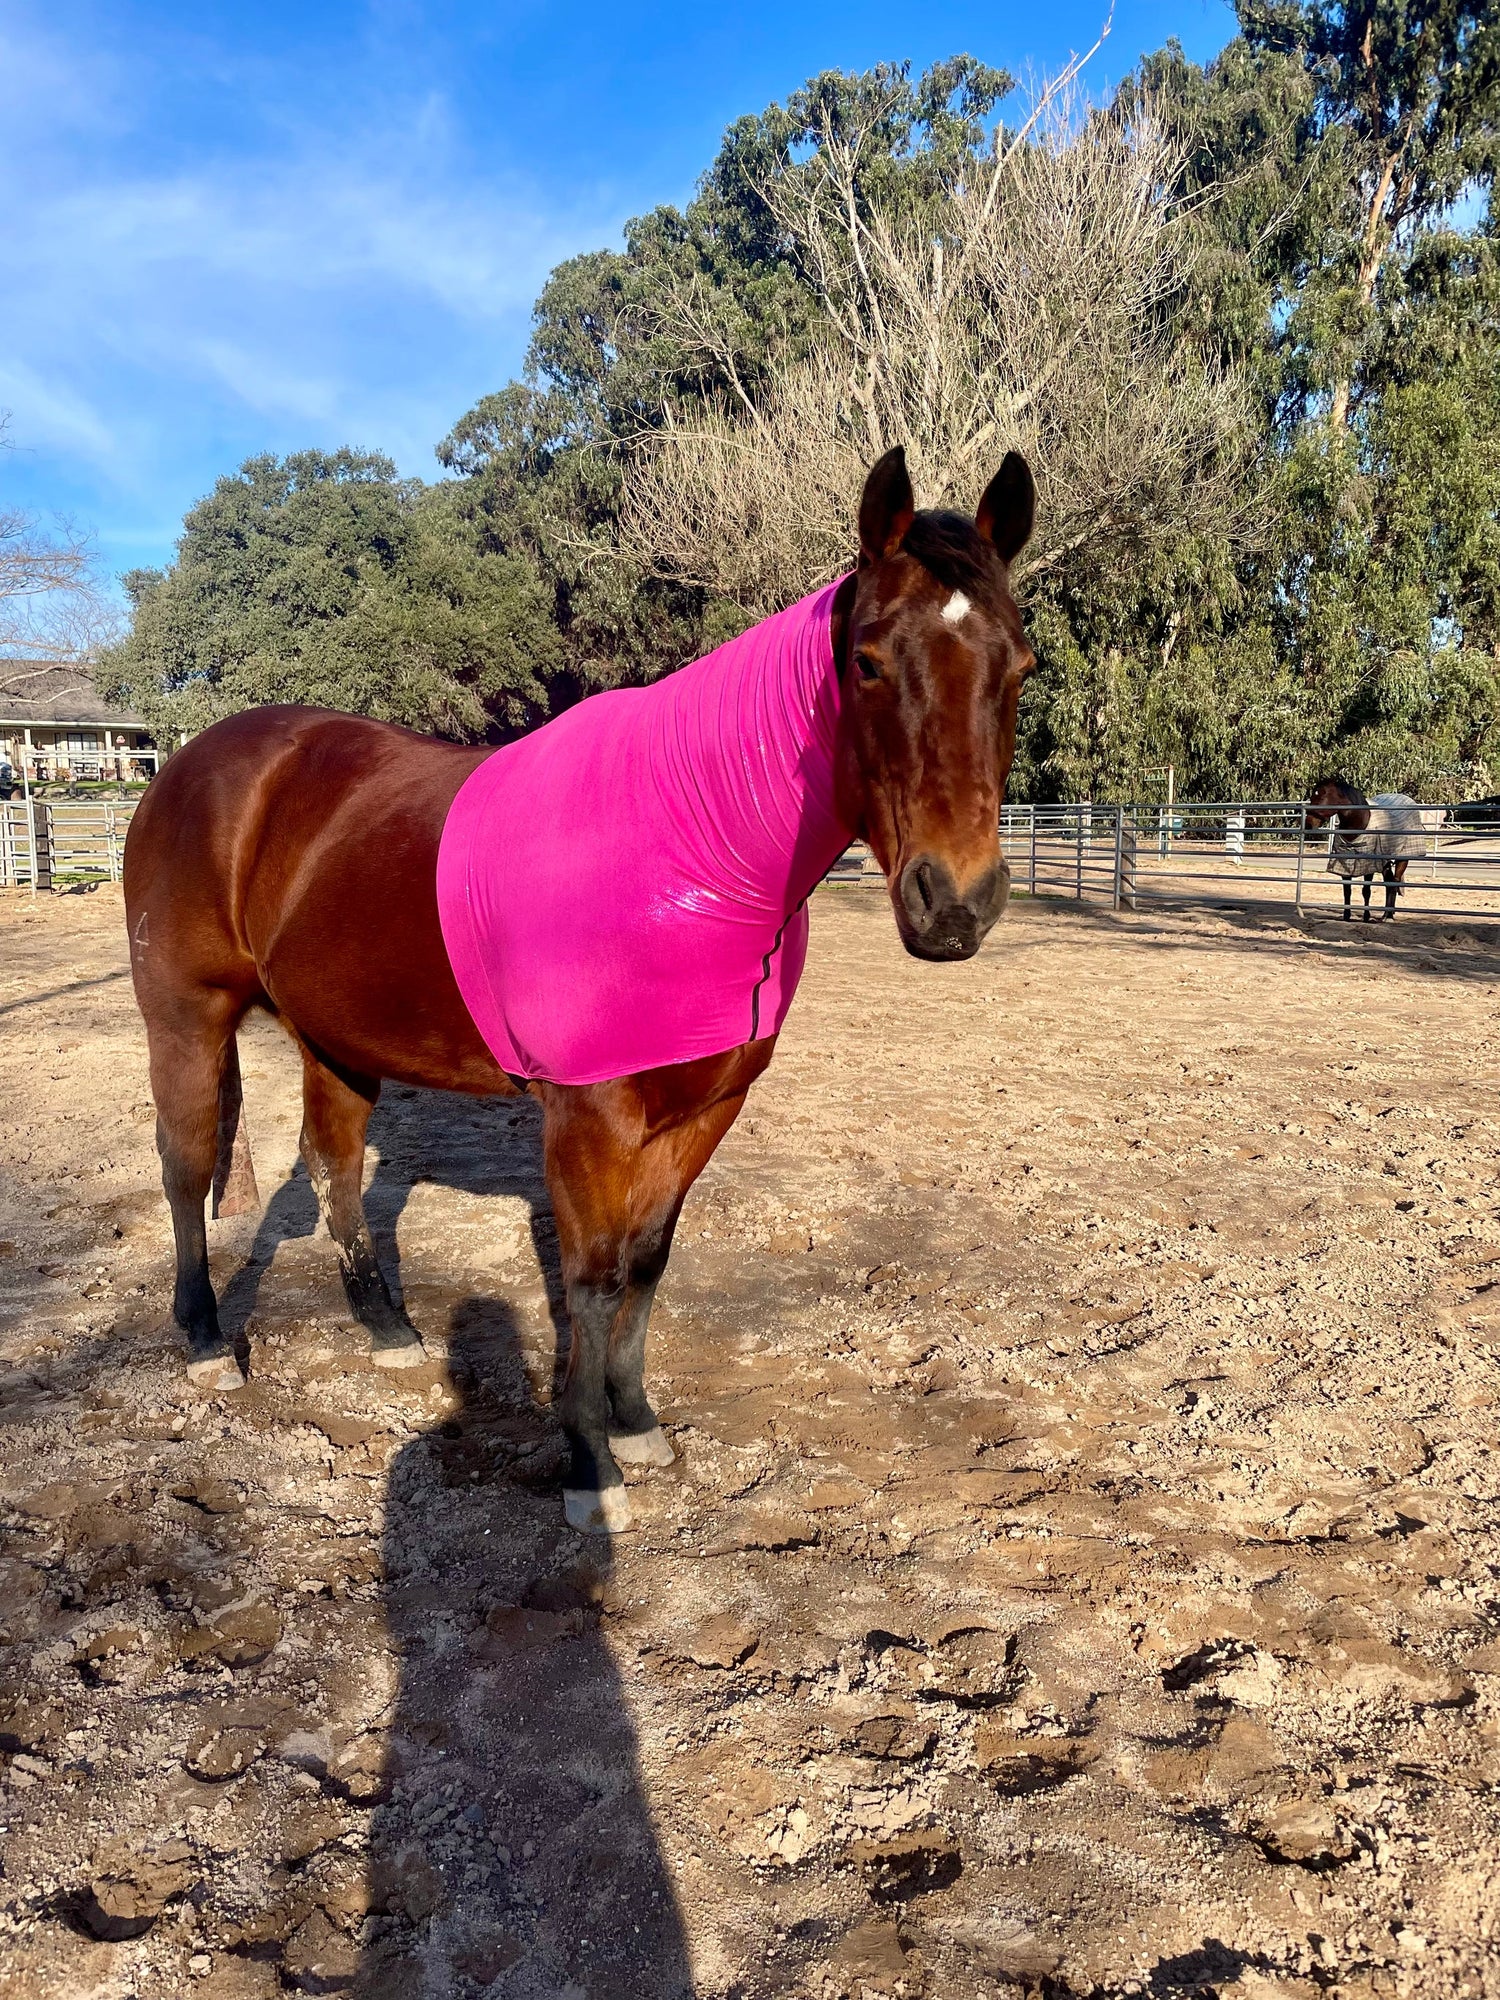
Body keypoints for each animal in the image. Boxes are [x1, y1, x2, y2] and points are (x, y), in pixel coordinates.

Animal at [123, 442, 1040, 1528]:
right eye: (865, 661)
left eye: (1021, 666)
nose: (956, 903)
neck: (687, 838)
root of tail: (197, 760)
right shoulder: (589, 1118)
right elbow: (592, 1278)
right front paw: (588, 1464)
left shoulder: (707, 1106)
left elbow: (647, 1259)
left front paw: (637, 1423)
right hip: (187, 1018)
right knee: (186, 1167)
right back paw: (207, 1343)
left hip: (336, 1036)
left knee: (333, 1166)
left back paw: (388, 1330)